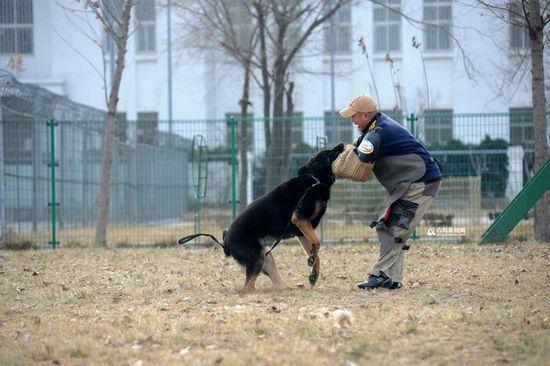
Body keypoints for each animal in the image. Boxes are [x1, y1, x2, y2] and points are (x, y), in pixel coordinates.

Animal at [180, 143, 344, 292]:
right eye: (329, 152)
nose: (342, 144)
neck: (314, 179)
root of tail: (225, 243)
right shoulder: (300, 217)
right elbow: (317, 242)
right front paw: (312, 262)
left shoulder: (302, 231)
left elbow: (316, 250)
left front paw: (313, 272)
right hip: (257, 258)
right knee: (247, 287)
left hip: (266, 258)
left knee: (276, 284)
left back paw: (290, 288)